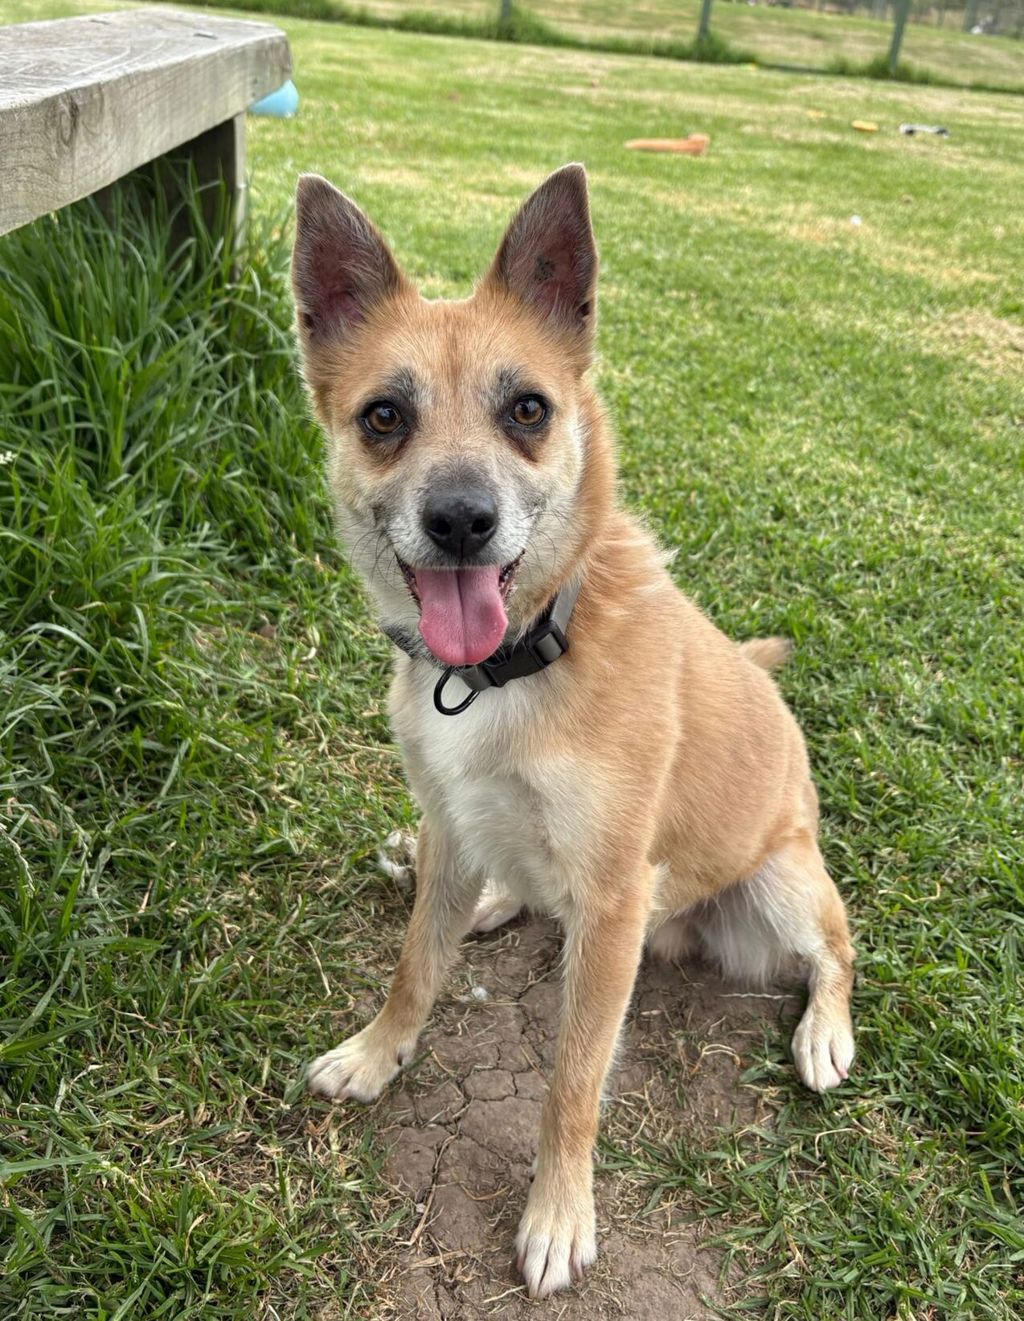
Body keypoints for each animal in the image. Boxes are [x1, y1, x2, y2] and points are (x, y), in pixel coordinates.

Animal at [291, 164, 855, 1300]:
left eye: (527, 410)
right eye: (384, 416)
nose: (462, 520)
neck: (521, 654)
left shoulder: (611, 903)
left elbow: (574, 1079)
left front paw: (558, 1213)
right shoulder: (449, 826)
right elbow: (415, 965)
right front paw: (377, 1053)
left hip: (781, 877)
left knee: (839, 948)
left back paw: (825, 1031)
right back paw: (498, 900)